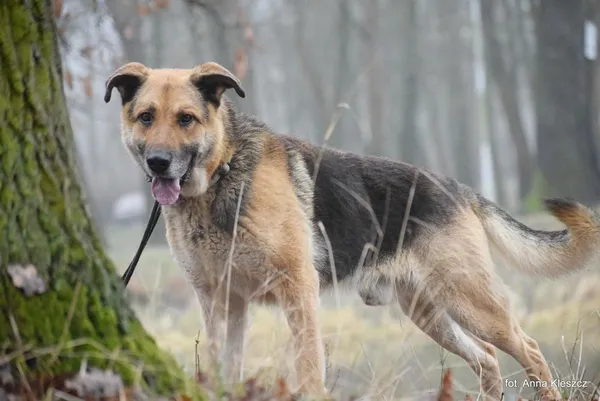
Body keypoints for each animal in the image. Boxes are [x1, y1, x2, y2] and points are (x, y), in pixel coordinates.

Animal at [106, 61, 600, 398]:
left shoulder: (297, 293)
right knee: (488, 360)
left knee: (529, 349)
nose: (158, 163)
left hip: (470, 301)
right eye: (146, 117)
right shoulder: (221, 303)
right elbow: (220, 368)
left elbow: (309, 371)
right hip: (428, 311)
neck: (222, 174)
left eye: (185, 119)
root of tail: (455, 186)